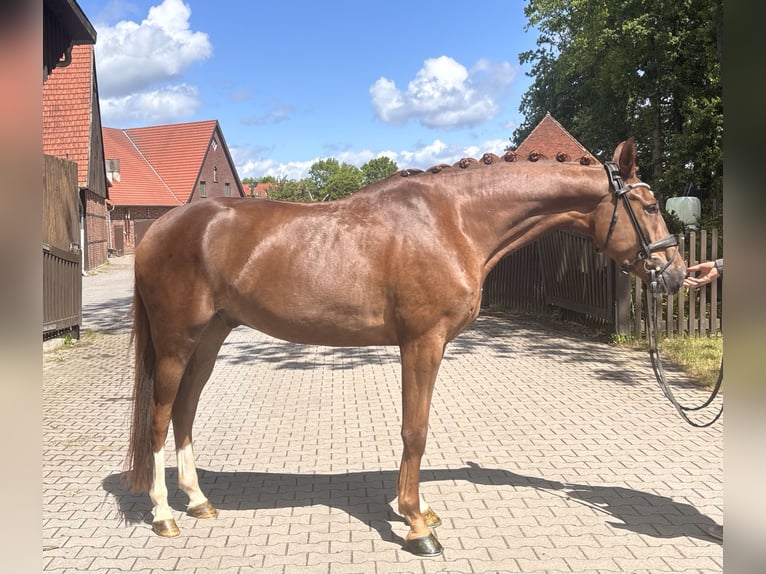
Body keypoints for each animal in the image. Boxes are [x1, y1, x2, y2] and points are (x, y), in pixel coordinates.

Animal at [126, 137, 686, 556]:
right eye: (650, 206)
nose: (676, 273)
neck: (452, 221)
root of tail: (158, 229)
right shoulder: (422, 342)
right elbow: (414, 430)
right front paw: (418, 525)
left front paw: (417, 510)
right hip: (176, 344)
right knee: (160, 418)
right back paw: (164, 515)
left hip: (210, 339)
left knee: (184, 412)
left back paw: (198, 501)